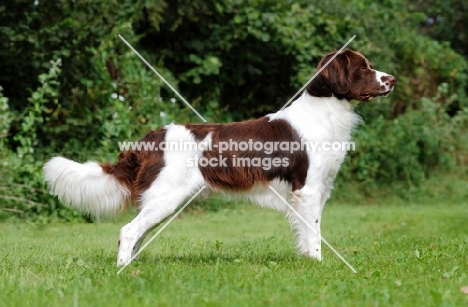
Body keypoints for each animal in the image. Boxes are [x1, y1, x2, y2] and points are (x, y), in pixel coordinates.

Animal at [44, 49, 394, 266]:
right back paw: (124, 271)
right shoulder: (306, 189)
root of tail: (150, 138)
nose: (391, 80)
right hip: (166, 197)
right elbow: (314, 234)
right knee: (128, 231)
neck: (325, 112)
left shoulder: (317, 190)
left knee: (136, 233)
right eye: (363, 67)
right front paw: (318, 263)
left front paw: (309, 260)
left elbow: (310, 232)